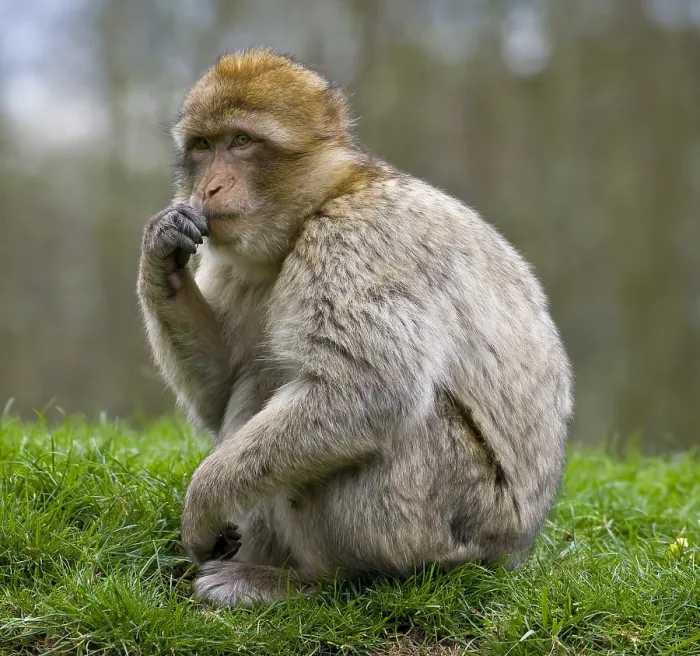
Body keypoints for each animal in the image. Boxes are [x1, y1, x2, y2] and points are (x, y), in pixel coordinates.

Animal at [136, 48, 573, 607]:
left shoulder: (355, 239)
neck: (315, 208)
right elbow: (221, 390)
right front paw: (161, 255)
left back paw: (310, 582)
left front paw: (203, 501)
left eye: (241, 142)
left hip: (445, 522)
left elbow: (369, 388)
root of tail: (514, 550)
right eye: (203, 147)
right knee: (259, 376)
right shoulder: (235, 263)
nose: (209, 186)